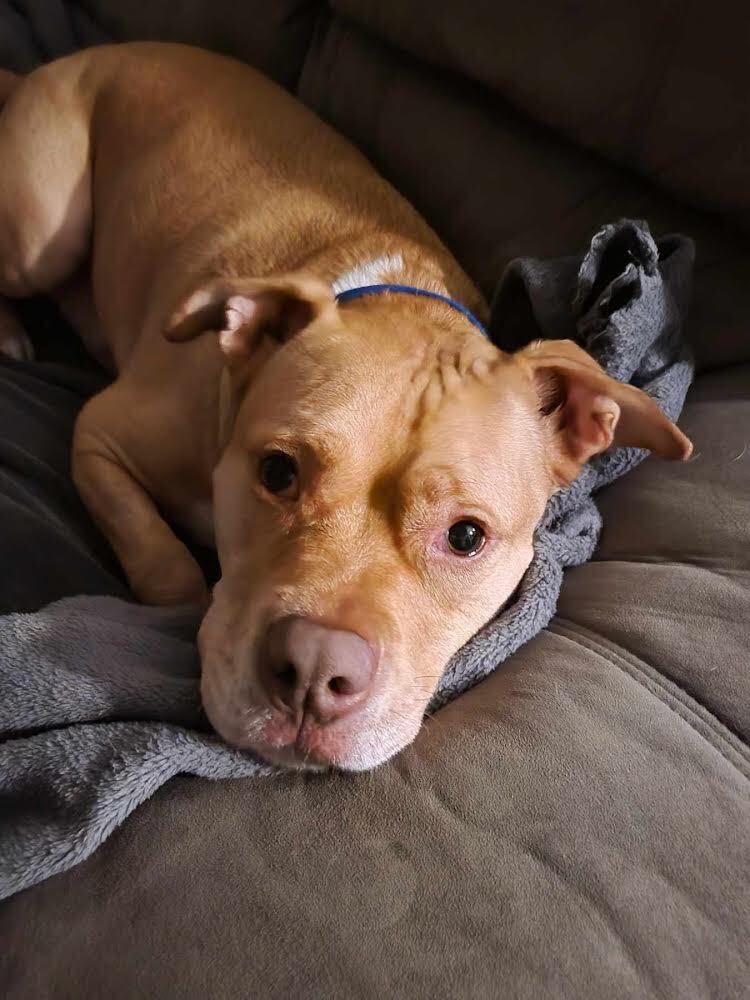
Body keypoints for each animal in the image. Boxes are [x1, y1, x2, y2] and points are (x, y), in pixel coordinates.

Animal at [0, 43, 692, 768]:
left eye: (466, 536)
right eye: (277, 471)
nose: (314, 669)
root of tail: (73, 59)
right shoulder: (99, 433)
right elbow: (161, 556)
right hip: (40, 238)